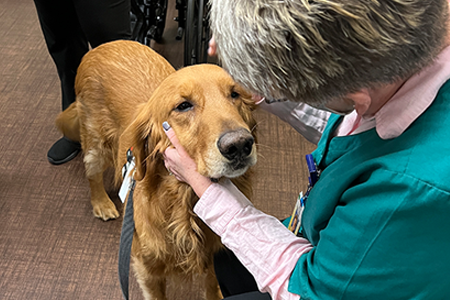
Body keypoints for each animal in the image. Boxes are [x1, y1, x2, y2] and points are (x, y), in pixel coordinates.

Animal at [55, 40, 258, 300]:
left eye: (235, 94)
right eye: (183, 106)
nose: (239, 145)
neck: (182, 201)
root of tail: (100, 47)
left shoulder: (213, 255)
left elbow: (213, 287)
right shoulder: (147, 268)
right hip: (95, 143)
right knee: (92, 173)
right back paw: (101, 203)